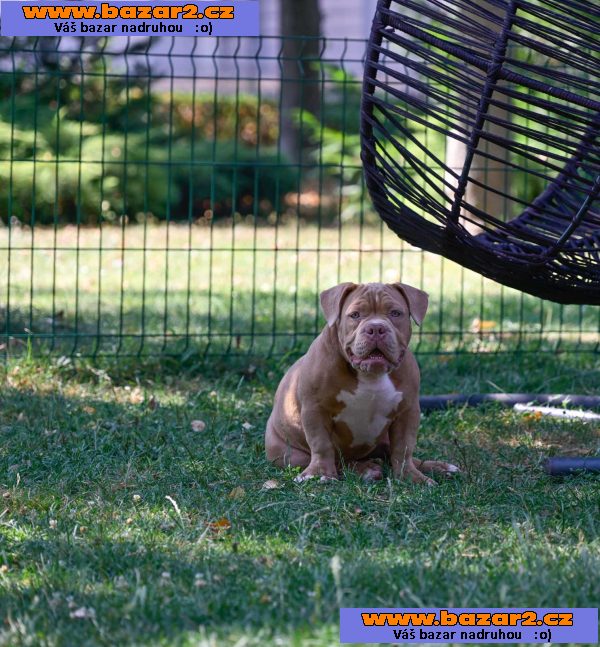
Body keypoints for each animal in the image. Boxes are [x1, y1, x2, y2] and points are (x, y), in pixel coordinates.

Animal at [264, 280, 458, 484]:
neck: (370, 375)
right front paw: (319, 473)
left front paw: (410, 476)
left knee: (391, 453)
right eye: (355, 315)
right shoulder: (315, 409)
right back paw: (365, 470)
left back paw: (438, 467)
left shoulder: (407, 411)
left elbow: (403, 447)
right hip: (289, 453)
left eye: (395, 313)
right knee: (338, 461)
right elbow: (321, 444)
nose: (376, 328)